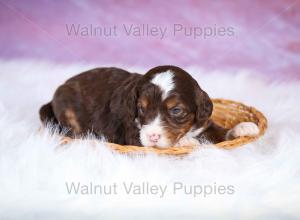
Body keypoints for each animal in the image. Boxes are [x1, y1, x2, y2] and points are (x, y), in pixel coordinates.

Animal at [39, 65, 260, 148]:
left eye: (176, 110)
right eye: (142, 108)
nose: (153, 136)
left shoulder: (203, 122)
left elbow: (218, 131)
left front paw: (243, 127)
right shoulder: (132, 134)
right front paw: (185, 142)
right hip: (67, 109)